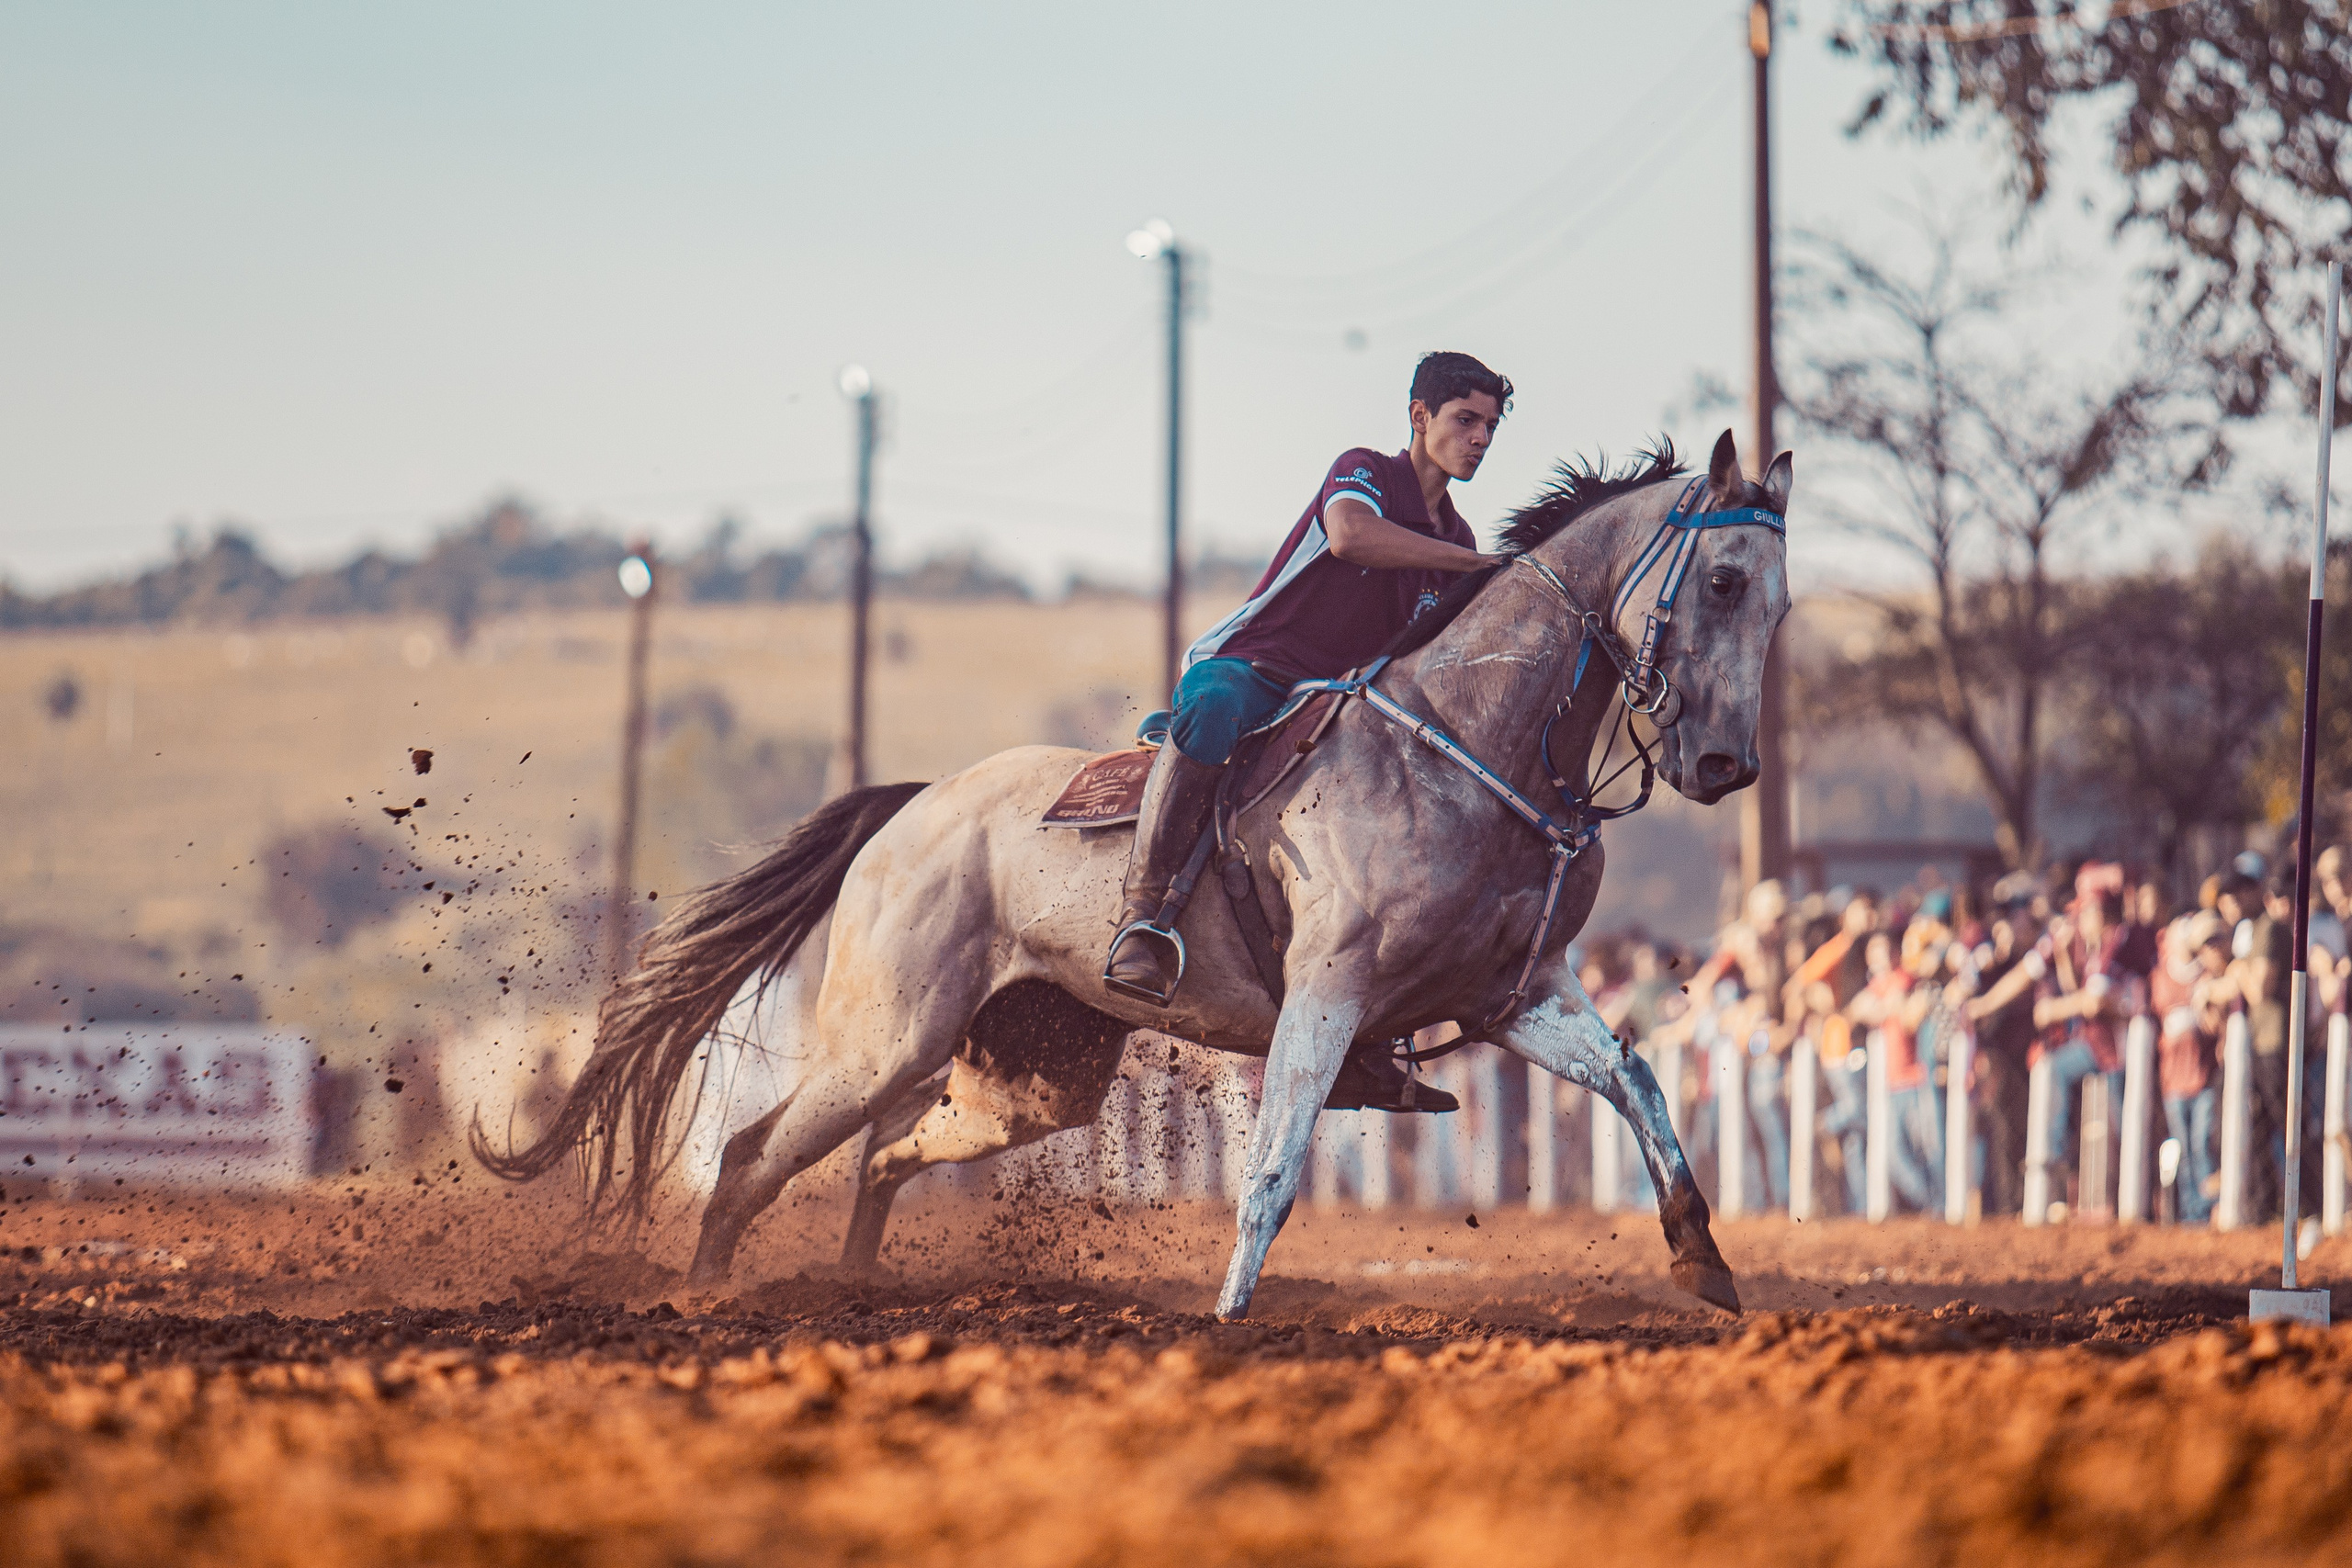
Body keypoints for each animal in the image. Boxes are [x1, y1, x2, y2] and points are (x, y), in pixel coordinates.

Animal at [477, 429, 1792, 1320]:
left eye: (1780, 601)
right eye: (1722, 581)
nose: (1725, 763)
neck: (1468, 744)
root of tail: (914, 813)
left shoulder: (1517, 995)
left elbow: (1640, 1081)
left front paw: (1704, 1260)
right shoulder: (1328, 995)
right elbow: (1272, 1167)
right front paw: (1228, 1321)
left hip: (1034, 1076)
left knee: (884, 1155)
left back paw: (850, 1285)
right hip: (883, 1042)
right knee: (755, 1157)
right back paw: (704, 1302)